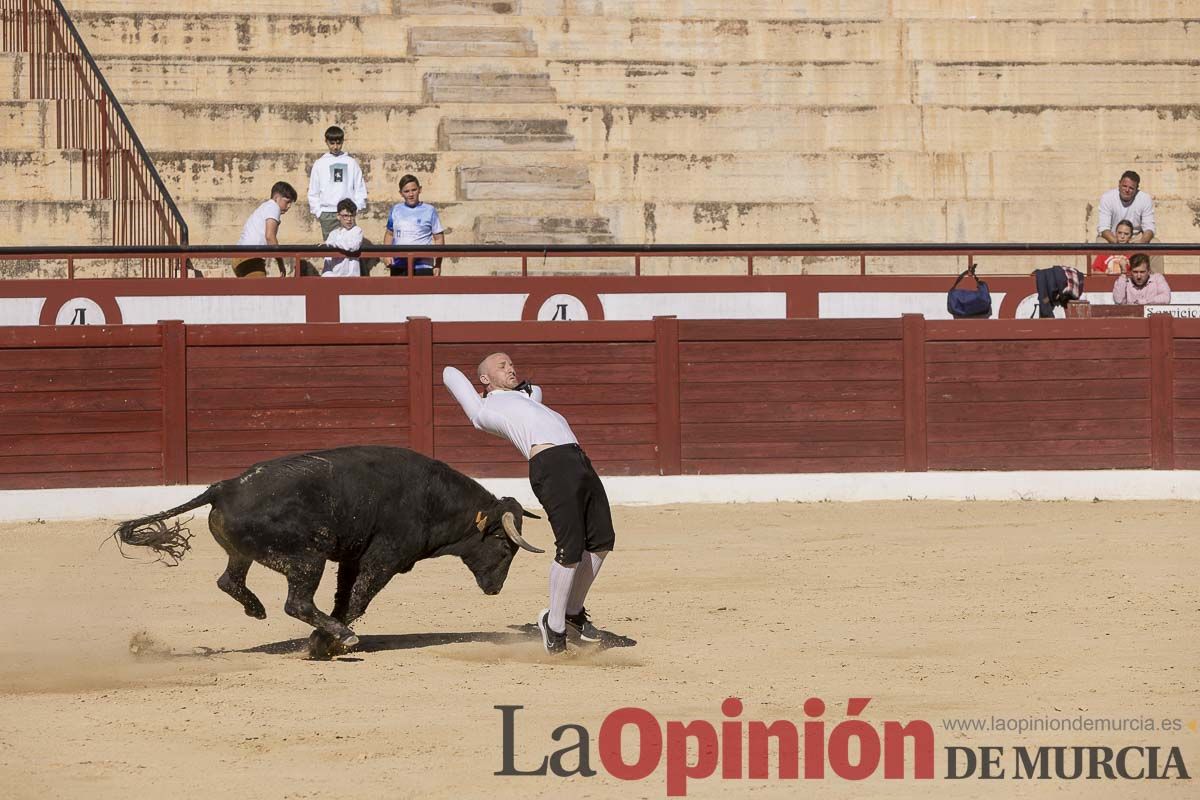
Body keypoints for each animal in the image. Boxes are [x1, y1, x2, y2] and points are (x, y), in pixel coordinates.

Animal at [112, 448, 544, 662]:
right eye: (506, 545)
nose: (495, 589)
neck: (433, 500)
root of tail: (224, 487)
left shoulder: (351, 560)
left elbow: (344, 598)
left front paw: (325, 640)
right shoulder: (381, 560)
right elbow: (357, 600)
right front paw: (327, 642)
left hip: (248, 552)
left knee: (229, 580)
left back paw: (256, 608)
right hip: (307, 558)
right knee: (297, 602)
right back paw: (338, 637)